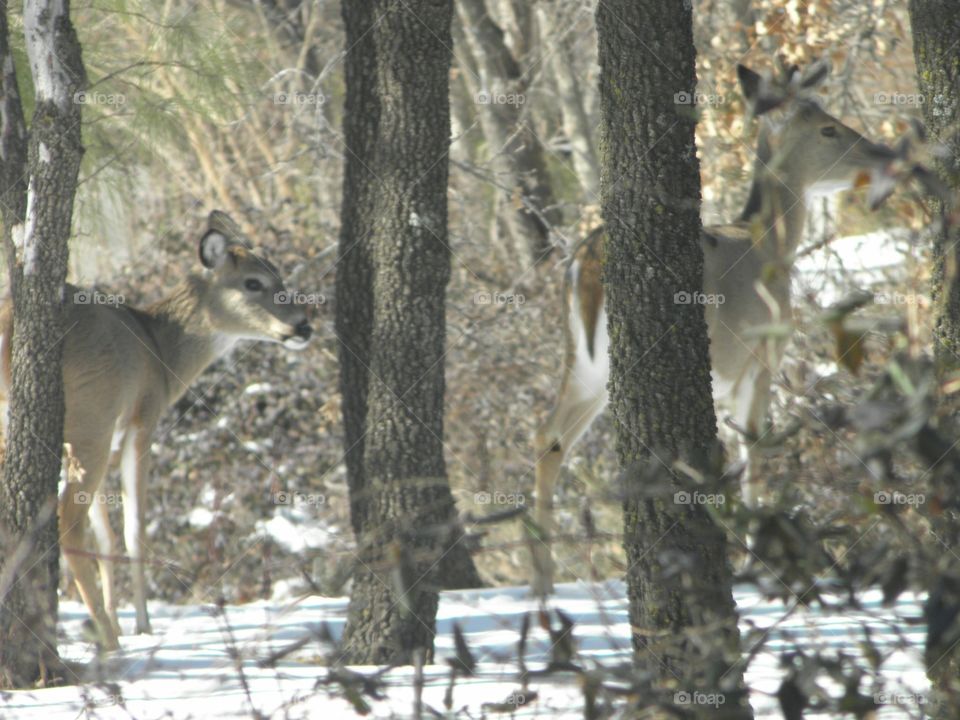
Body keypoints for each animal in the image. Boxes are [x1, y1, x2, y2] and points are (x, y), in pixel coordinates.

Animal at [0, 211, 314, 648]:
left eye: (280, 275)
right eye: (254, 282)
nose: (304, 327)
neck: (162, 352)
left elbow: (107, 533)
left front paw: (120, 618)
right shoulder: (142, 419)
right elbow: (134, 529)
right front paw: (141, 625)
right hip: (91, 419)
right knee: (69, 522)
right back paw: (108, 642)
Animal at [532, 64, 900, 596]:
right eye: (828, 128)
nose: (882, 154)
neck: (769, 244)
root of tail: (587, 262)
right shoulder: (761, 357)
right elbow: (753, 445)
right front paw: (756, 559)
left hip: (582, 364)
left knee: (548, 438)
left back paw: (542, 580)